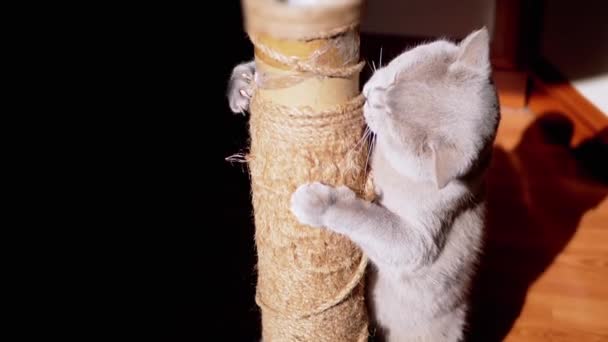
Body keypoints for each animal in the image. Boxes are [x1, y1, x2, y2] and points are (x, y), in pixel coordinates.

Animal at [227, 27, 498, 342]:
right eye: (396, 77)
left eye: (391, 119)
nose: (370, 95)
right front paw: (245, 82)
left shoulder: (422, 239)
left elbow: (371, 219)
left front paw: (318, 203)